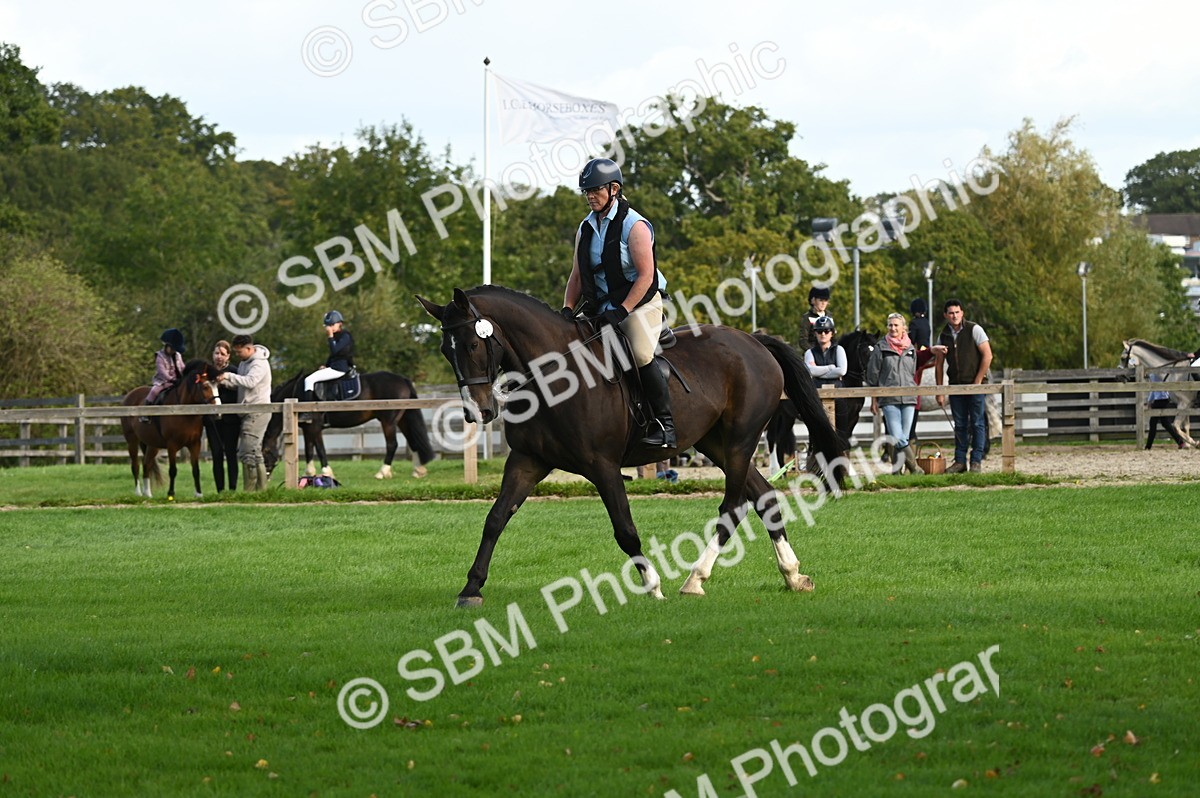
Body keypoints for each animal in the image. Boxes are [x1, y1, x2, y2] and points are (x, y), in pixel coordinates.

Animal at [120, 360, 221, 500]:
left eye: (217, 386)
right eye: (205, 387)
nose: (218, 413)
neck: (185, 413)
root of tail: (130, 395)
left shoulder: (195, 444)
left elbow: (196, 469)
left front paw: (199, 494)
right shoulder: (172, 445)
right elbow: (173, 470)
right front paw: (171, 494)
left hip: (153, 445)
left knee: (146, 464)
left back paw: (148, 494)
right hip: (132, 441)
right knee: (135, 465)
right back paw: (138, 493)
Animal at [262, 370, 435, 479]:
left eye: (263, 452)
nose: (266, 475)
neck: (296, 394)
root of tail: (402, 379)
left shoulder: (314, 427)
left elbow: (319, 449)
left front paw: (327, 472)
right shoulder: (307, 428)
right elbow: (310, 449)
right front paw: (309, 473)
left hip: (389, 421)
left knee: (392, 444)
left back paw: (382, 472)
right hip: (402, 419)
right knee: (413, 441)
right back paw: (418, 470)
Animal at [417, 286, 847, 607]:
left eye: (473, 345)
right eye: (445, 350)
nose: (477, 411)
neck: (553, 376)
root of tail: (753, 341)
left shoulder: (602, 465)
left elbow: (625, 529)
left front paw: (652, 584)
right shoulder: (527, 461)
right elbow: (495, 519)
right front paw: (471, 588)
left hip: (740, 441)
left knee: (733, 505)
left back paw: (694, 578)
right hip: (716, 444)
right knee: (763, 496)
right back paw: (791, 574)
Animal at [766, 329, 878, 469]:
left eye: (876, 350)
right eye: (865, 351)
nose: (872, 377)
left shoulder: (853, 417)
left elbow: (846, 442)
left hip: (787, 417)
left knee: (780, 441)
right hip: (776, 415)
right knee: (772, 439)